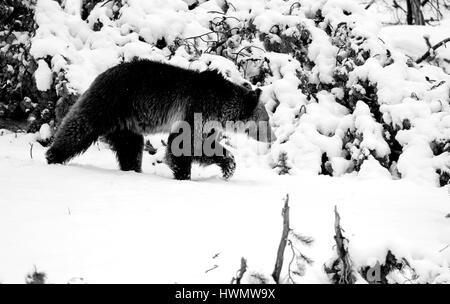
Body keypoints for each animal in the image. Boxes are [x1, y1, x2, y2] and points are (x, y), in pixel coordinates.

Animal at [45, 58, 272, 180]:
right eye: (266, 120)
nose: (272, 138)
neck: (220, 105)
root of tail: (101, 74)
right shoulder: (195, 109)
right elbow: (182, 146)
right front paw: (184, 175)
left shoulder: (206, 122)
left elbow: (203, 146)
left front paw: (228, 165)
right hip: (111, 102)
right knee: (79, 127)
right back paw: (53, 156)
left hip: (127, 124)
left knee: (130, 148)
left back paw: (133, 170)